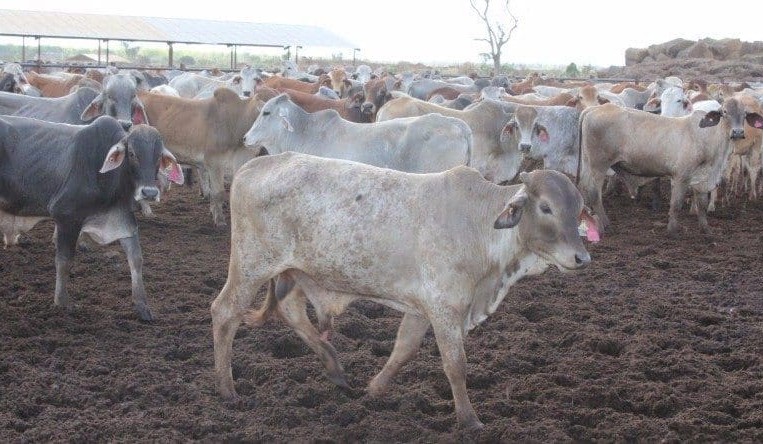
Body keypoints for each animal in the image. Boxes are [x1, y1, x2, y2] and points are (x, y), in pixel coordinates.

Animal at [0, 115, 184, 320]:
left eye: (159, 157)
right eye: (132, 153)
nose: (149, 192)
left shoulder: (122, 219)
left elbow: (136, 259)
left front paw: (142, 307)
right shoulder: (66, 217)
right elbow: (64, 261)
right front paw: (62, 303)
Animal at [211, 152, 596, 430]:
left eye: (577, 210)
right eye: (546, 207)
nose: (582, 258)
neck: (480, 226)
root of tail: (256, 164)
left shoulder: (420, 308)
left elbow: (404, 349)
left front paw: (374, 389)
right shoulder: (444, 308)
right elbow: (455, 365)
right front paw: (469, 421)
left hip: (295, 271)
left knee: (290, 310)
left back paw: (334, 367)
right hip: (251, 265)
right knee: (224, 312)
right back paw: (227, 390)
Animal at [577, 98, 763, 236]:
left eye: (745, 114)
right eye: (724, 112)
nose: (738, 132)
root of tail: (593, 109)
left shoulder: (702, 178)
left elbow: (702, 205)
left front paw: (706, 230)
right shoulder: (681, 176)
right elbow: (676, 204)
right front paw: (672, 230)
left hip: (588, 164)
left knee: (583, 187)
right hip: (599, 165)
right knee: (594, 193)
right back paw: (606, 225)